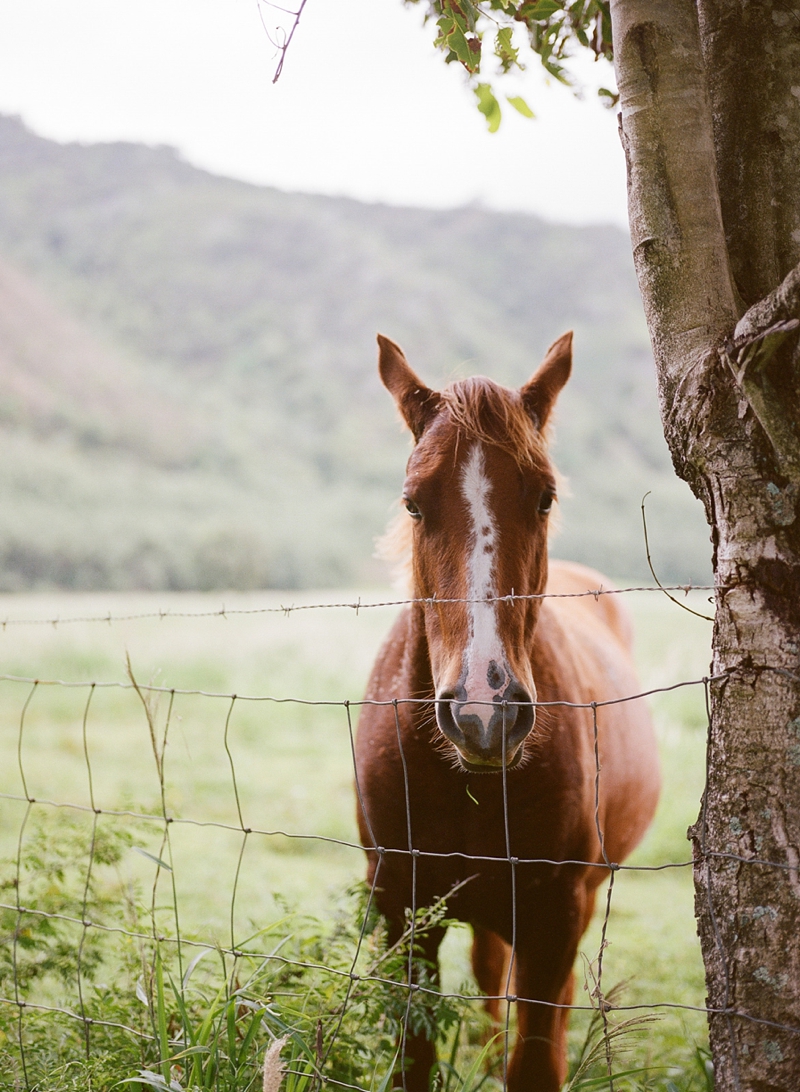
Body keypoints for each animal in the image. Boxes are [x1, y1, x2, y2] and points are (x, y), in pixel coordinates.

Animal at [355, 331, 663, 1092]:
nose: (483, 713)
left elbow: (536, 1058)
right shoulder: (402, 911)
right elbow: (415, 1056)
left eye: (545, 497)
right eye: (413, 503)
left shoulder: (554, 917)